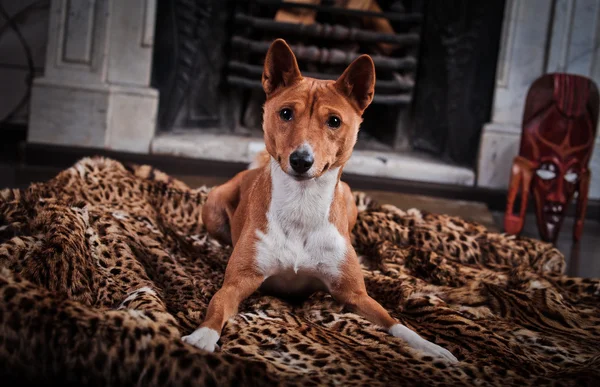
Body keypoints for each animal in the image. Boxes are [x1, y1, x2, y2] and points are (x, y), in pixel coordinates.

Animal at [182, 39, 454, 364]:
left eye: (334, 121)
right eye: (286, 113)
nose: (301, 160)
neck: (302, 203)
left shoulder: (355, 295)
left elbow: (394, 322)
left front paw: (432, 348)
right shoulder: (238, 283)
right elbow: (218, 306)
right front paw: (203, 336)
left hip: (349, 199)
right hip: (212, 205)